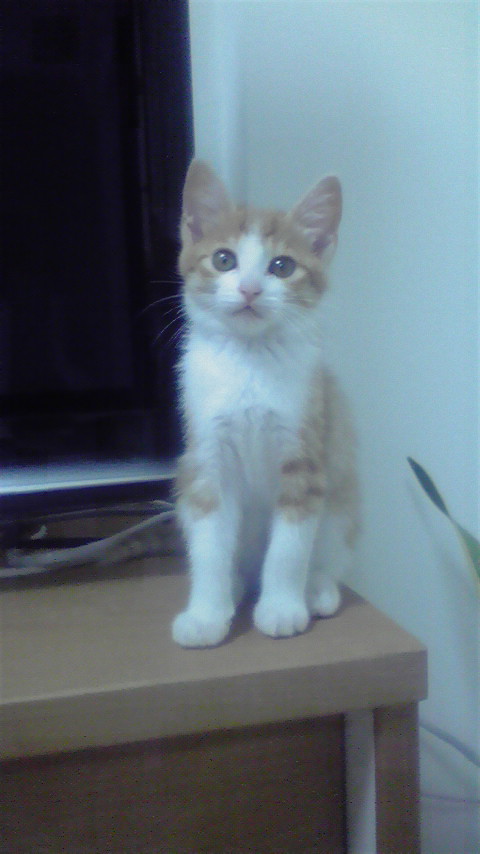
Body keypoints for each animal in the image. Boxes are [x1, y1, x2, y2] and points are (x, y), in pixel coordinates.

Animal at [172, 160, 360, 647]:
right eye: (224, 259)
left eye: (282, 265)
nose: (250, 289)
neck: (250, 364)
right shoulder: (207, 460)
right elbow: (210, 546)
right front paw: (206, 615)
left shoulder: (306, 455)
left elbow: (289, 548)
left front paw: (281, 609)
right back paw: (236, 588)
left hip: (343, 498)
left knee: (330, 549)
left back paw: (317, 591)